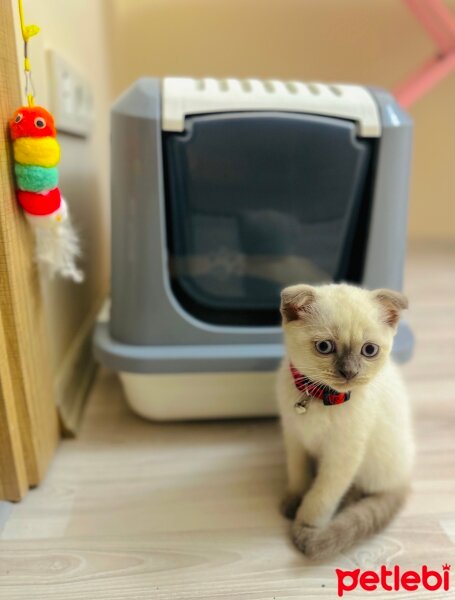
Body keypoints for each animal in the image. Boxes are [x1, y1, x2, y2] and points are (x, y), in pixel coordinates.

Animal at [276, 284, 416, 560]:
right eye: (324, 346)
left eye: (369, 350)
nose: (349, 372)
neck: (320, 396)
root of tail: (406, 475)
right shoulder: (294, 437)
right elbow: (298, 475)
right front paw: (293, 500)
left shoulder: (341, 455)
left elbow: (320, 497)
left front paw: (305, 527)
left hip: (373, 465)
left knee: (365, 493)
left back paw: (346, 505)